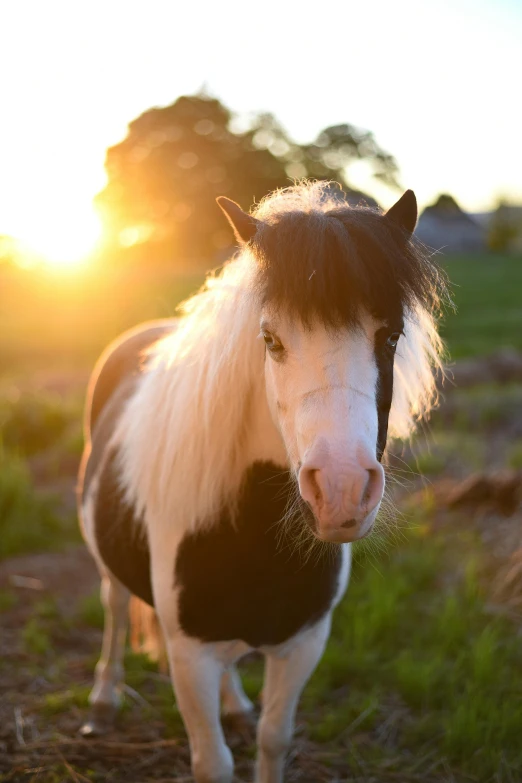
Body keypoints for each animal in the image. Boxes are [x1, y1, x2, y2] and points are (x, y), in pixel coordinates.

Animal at [77, 182, 442, 783]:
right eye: (270, 339)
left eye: (391, 336)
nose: (341, 491)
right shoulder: (189, 657)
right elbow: (214, 763)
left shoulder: (303, 644)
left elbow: (275, 739)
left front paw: (251, 721)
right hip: (109, 565)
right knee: (112, 607)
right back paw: (104, 700)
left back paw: (234, 706)